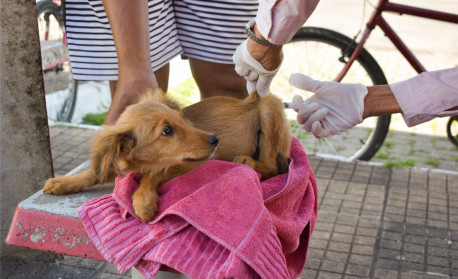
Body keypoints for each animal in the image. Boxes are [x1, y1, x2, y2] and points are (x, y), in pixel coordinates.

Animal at [44, 91, 292, 222]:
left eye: (181, 120)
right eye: (167, 130)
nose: (215, 139)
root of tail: (249, 100)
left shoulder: (194, 162)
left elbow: (151, 175)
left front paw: (142, 201)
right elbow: (91, 174)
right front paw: (62, 182)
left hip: (270, 106)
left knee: (274, 166)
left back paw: (248, 161)